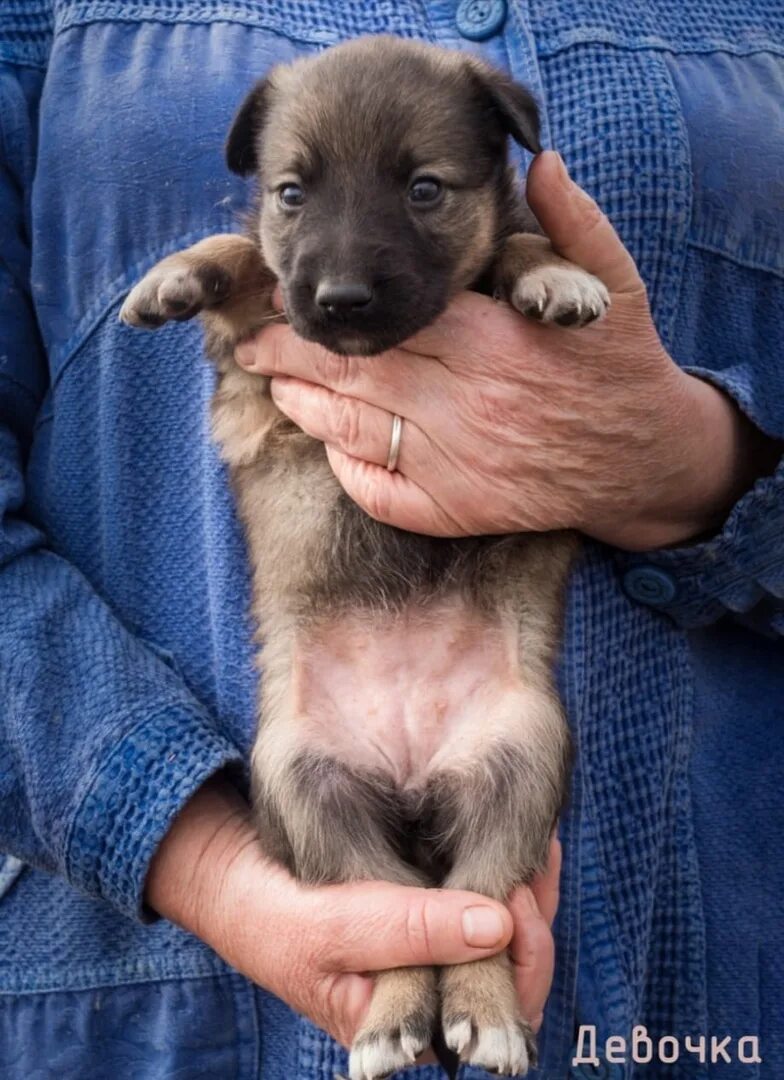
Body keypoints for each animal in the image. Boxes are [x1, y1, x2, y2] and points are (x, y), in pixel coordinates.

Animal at [121, 35, 609, 1080]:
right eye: (291, 192)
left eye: (424, 189)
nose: (340, 299)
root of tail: (415, 779)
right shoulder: (257, 358)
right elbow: (245, 263)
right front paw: (179, 273)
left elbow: (514, 243)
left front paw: (553, 275)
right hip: (303, 785)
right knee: (398, 919)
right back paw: (394, 1020)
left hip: (524, 763)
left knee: (479, 909)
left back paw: (484, 1013)